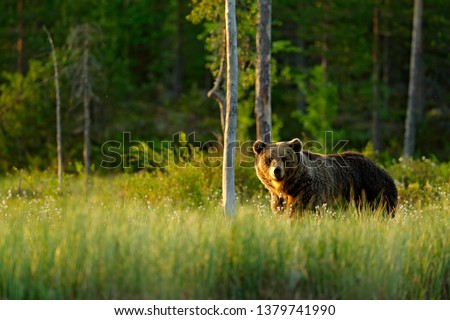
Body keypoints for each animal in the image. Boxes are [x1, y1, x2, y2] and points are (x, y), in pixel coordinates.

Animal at [253, 139, 398, 216]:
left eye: (285, 158)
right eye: (269, 159)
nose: (276, 171)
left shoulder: (310, 193)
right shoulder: (278, 200)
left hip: (373, 191)